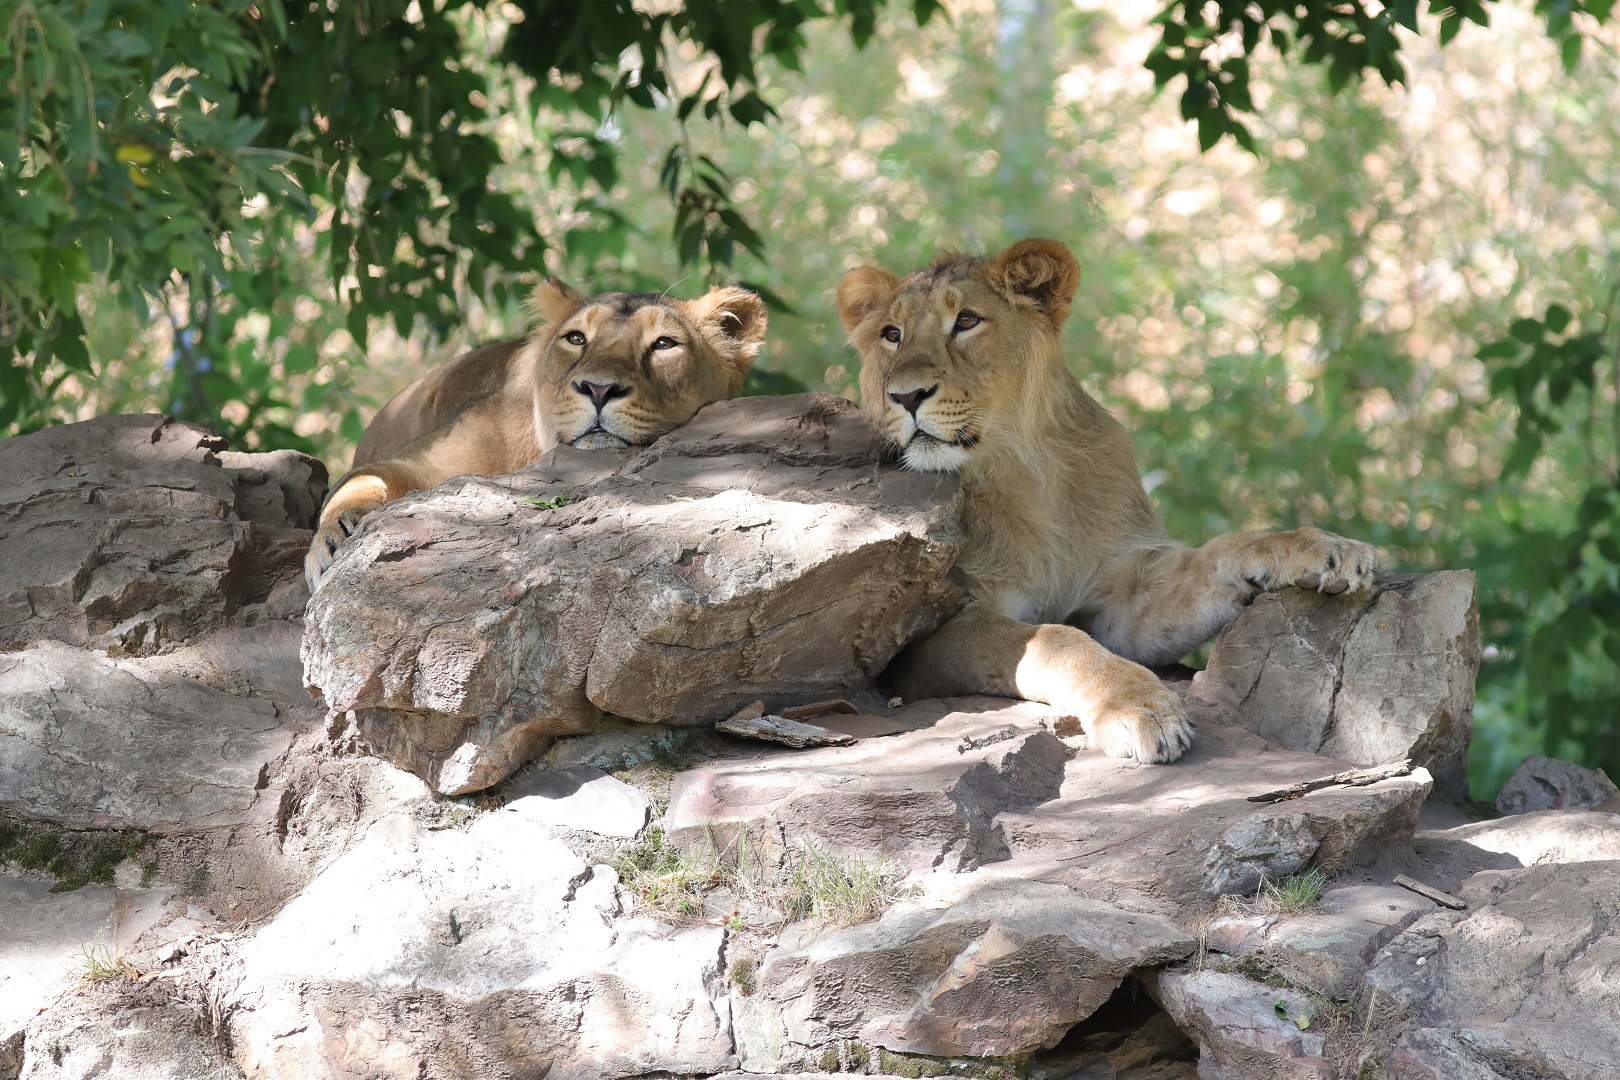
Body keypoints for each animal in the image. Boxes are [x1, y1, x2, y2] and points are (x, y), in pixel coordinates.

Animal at [306, 275, 767, 586]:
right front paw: (334, 540)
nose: (598, 389)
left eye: (664, 344)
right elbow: (362, 481)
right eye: (576, 339)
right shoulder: (421, 461)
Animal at [835, 238, 1380, 761]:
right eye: (891, 334)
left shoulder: (1124, 601)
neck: (1024, 467)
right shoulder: (928, 634)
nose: (905, 396)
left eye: (967, 320)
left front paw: (1324, 549)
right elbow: (1055, 640)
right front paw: (1138, 709)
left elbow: (1220, 553)